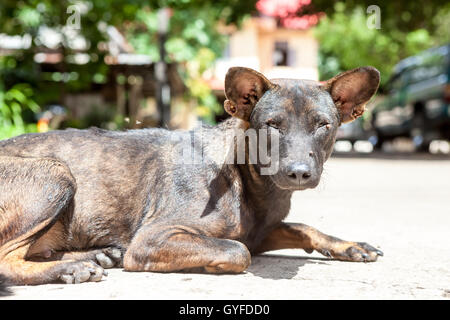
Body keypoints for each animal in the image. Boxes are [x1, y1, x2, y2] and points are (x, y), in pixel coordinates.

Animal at [0, 66, 384, 286]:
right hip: (57, 173)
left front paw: (348, 245)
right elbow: (237, 250)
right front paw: (213, 264)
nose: (299, 173)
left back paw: (93, 256)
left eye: (324, 125)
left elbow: (302, 228)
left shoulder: (263, 232)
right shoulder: (152, 239)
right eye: (272, 125)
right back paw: (71, 269)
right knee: (7, 260)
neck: (245, 181)